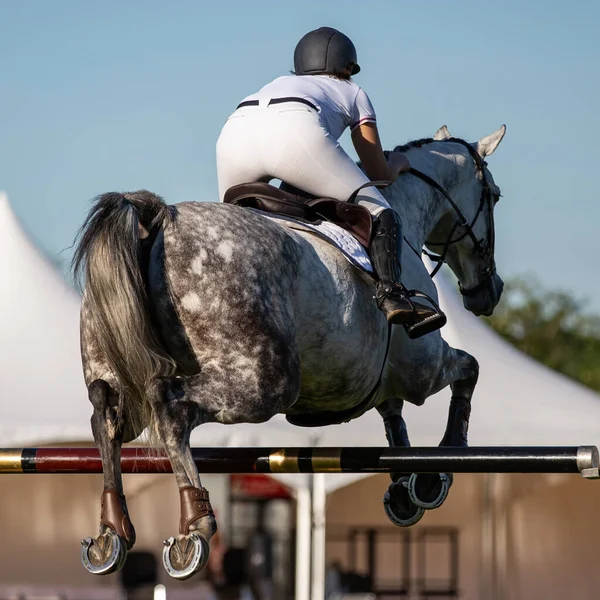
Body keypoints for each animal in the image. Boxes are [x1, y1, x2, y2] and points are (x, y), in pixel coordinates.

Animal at [72, 124, 504, 580]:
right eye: (493, 195)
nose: (489, 292)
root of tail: (157, 221)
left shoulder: (380, 379)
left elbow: (394, 418)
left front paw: (405, 490)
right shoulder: (423, 367)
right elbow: (469, 369)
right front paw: (436, 471)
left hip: (120, 375)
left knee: (107, 418)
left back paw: (111, 531)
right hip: (266, 382)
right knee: (170, 408)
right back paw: (195, 523)